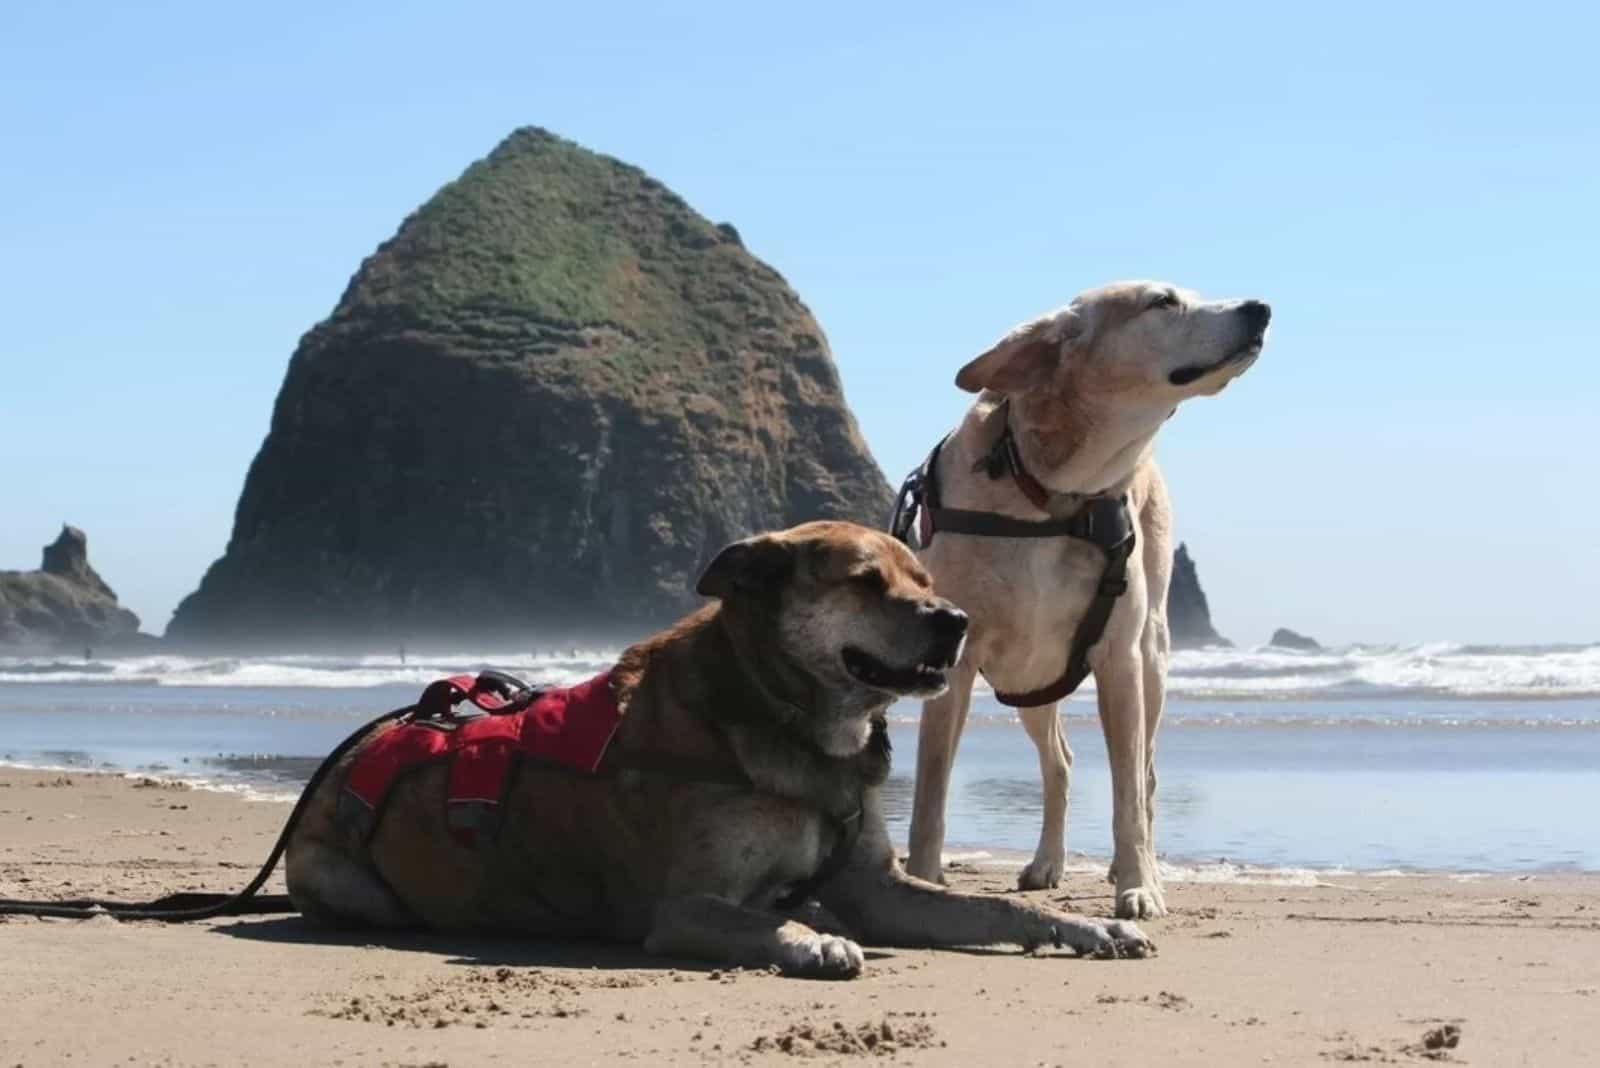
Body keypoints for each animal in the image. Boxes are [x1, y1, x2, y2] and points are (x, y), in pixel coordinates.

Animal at [284, 518, 1152, 978]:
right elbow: (755, 925)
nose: (958, 621)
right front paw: (810, 940)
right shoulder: (685, 907)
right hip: (348, 883)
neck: (792, 717)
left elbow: (997, 906)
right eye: (866, 582)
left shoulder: (878, 886)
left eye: (923, 578)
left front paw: (1090, 928)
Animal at [908, 281, 1267, 920]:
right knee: (1060, 764)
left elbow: (1127, 796)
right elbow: (931, 790)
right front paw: (923, 879)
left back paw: (1134, 866)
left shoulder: (1119, 660)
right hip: (1028, 683)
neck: (1055, 494)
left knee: (1145, 776)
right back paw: (1048, 862)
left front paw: (1139, 885)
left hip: (1151, 664)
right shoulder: (959, 659)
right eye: (1163, 301)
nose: (1261, 309)